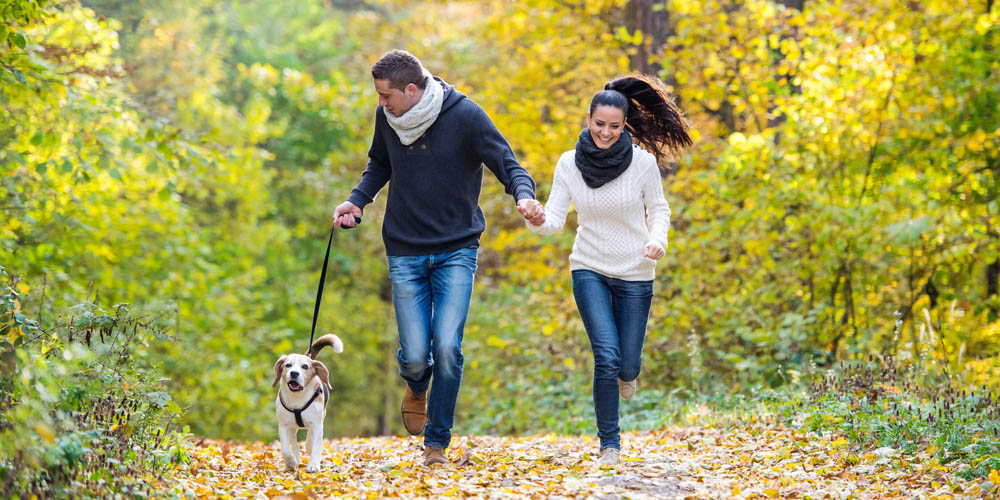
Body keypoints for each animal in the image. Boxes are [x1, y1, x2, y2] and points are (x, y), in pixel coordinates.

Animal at [272, 334, 342, 470]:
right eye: (288, 365)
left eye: (305, 366)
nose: (294, 373)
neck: (297, 398)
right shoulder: (284, 426)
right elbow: (285, 449)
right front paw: (290, 462)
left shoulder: (317, 425)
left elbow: (316, 446)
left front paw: (313, 465)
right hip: (292, 428)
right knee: (294, 443)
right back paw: (297, 460)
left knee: (310, 440)